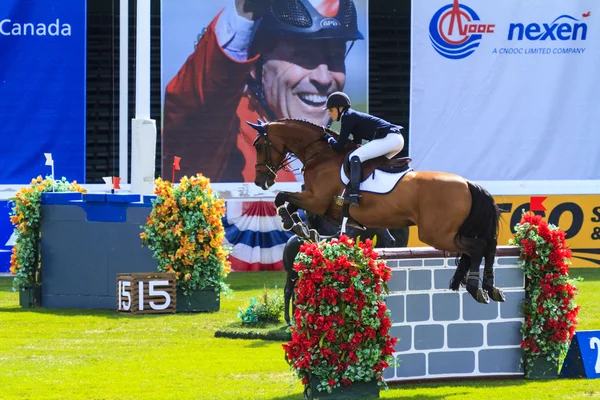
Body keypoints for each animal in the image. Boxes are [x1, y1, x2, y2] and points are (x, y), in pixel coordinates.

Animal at [248, 117, 506, 304]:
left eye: (259, 146)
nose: (261, 181)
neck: (320, 156)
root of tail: (468, 184)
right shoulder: (317, 202)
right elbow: (289, 201)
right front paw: (302, 228)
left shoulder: (317, 200)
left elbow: (282, 197)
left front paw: (292, 224)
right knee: (488, 246)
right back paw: (490, 288)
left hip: (437, 234)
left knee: (478, 247)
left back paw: (475, 287)